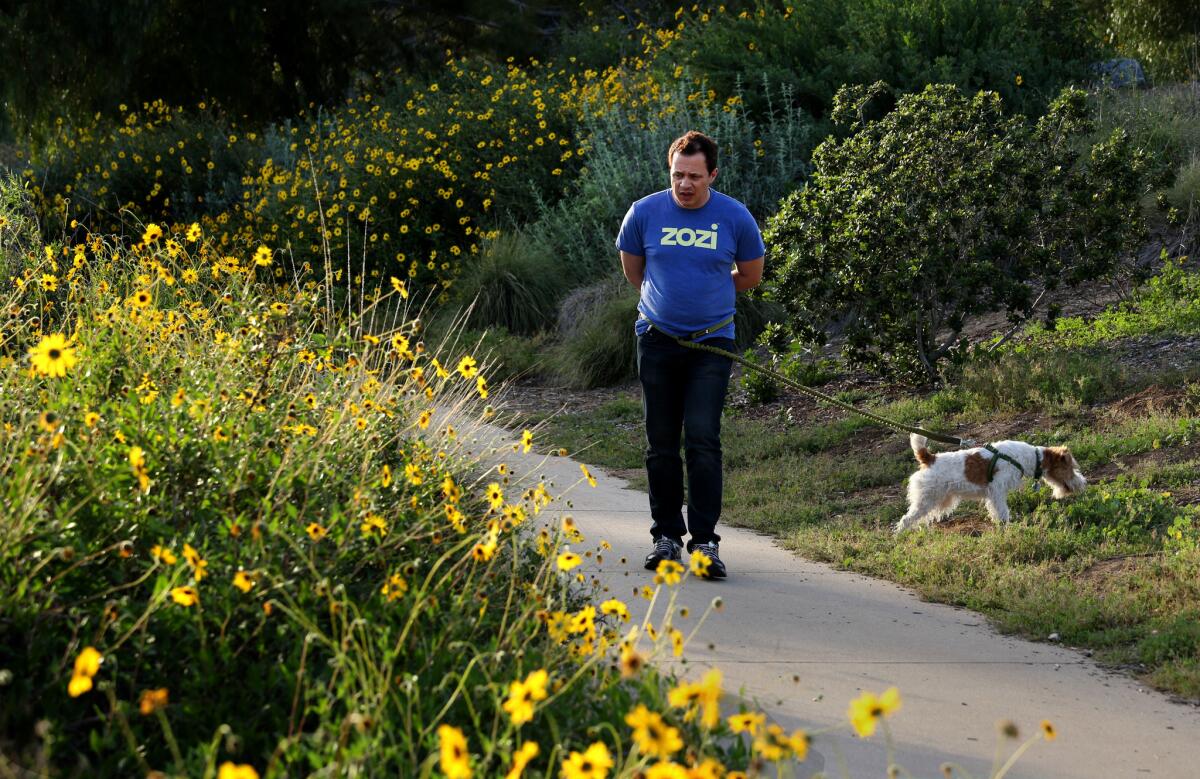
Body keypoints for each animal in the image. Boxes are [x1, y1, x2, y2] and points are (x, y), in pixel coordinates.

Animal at [892, 432, 1089, 535]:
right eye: (1070, 468)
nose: (1083, 483)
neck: (1032, 458)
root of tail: (929, 458)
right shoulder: (997, 491)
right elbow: (1003, 512)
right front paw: (1007, 527)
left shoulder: (993, 495)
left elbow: (997, 512)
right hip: (927, 499)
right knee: (906, 519)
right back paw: (899, 536)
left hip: (941, 500)